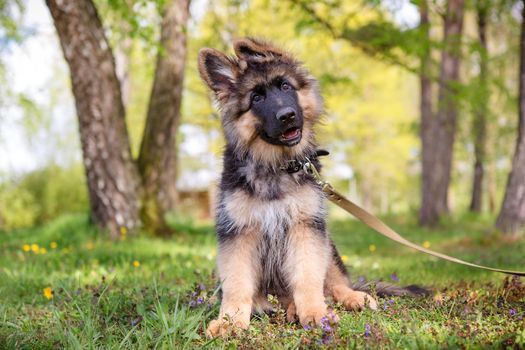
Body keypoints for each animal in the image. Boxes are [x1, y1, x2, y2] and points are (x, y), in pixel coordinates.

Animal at [199, 37, 420, 336]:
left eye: (285, 86)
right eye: (256, 98)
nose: (287, 115)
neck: (276, 166)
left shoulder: (305, 226)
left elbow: (307, 277)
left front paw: (315, 313)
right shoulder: (239, 232)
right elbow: (237, 283)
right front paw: (230, 321)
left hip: (329, 246)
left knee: (335, 283)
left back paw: (350, 298)